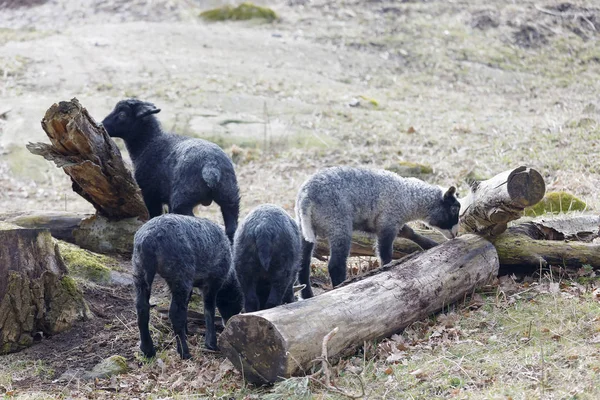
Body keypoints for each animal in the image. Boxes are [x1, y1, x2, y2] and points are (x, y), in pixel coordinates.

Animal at [102, 99, 240, 244]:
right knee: (231, 228)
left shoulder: (150, 193)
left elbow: (154, 214)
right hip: (230, 196)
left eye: (122, 114)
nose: (102, 124)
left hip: (183, 199)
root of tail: (211, 164)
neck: (148, 143)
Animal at [296, 164, 460, 298]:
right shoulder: (388, 223)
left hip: (305, 229)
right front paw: (386, 269)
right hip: (338, 224)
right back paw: (340, 287)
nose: (456, 234)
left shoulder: (387, 222)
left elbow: (409, 232)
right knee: (335, 265)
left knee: (303, 264)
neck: (409, 197)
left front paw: (430, 244)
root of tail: (307, 196)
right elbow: (385, 253)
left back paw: (307, 295)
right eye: (454, 209)